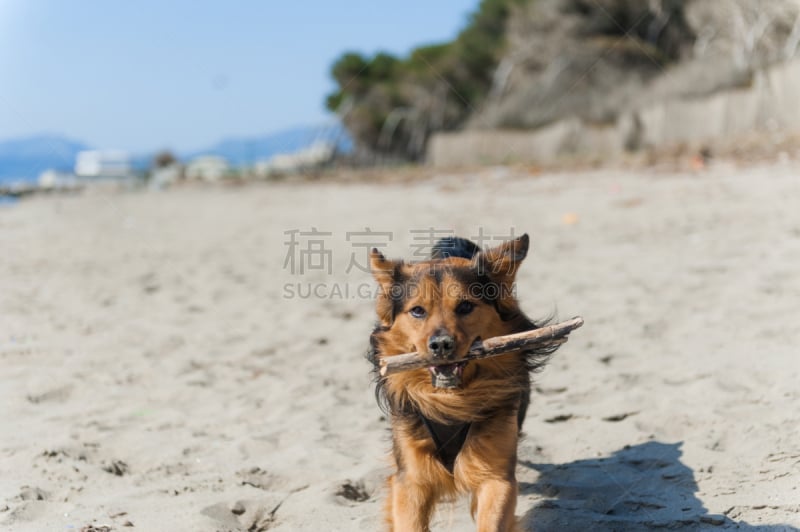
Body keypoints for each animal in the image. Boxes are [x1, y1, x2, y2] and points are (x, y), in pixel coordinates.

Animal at [368, 235, 560, 532]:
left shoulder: (496, 474)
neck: (451, 399)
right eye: (418, 311)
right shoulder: (411, 477)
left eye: (465, 306)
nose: (441, 345)